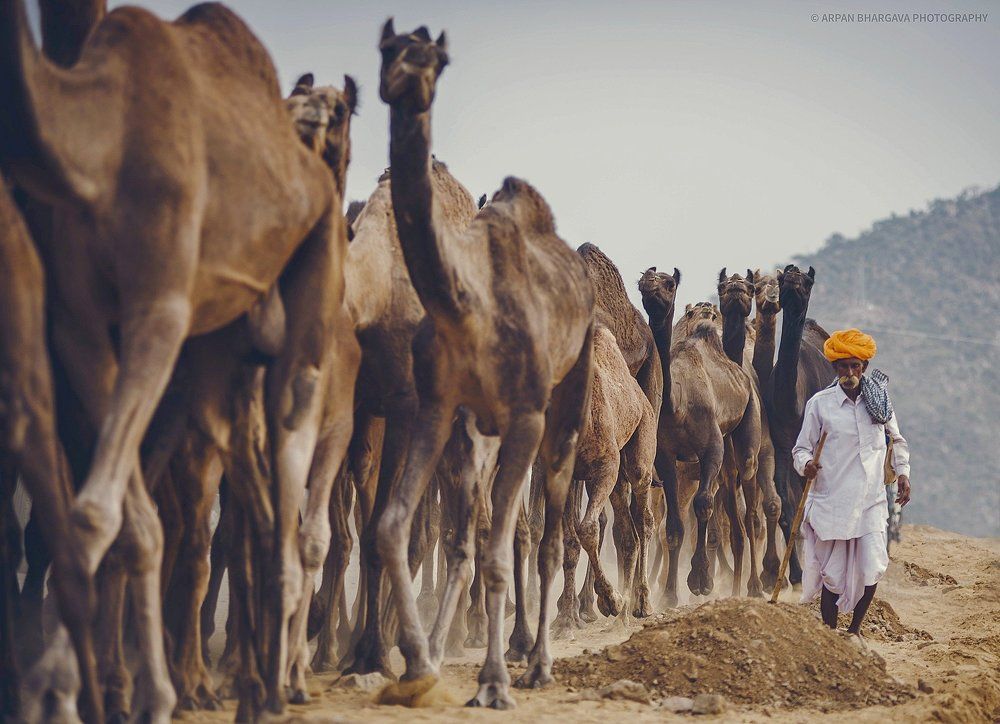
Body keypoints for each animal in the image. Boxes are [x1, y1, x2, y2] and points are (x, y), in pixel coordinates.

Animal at [0, 2, 359, 717]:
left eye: (339, 109)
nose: (307, 113)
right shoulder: (80, 325)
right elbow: (122, 517)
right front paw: (93, 691)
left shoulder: (161, 305)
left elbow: (102, 509)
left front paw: (67, 689)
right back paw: (252, 687)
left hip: (308, 292)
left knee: (288, 459)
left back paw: (275, 679)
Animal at [375, 21, 595, 709]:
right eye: (387, 50)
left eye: (436, 60)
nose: (404, 83)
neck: (464, 305)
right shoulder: (439, 405)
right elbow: (395, 525)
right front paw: (418, 666)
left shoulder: (525, 413)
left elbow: (504, 553)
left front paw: (495, 681)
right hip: (482, 433)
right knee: (474, 533)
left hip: (563, 412)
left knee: (547, 540)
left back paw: (538, 664)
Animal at [638, 269, 760, 605]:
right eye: (646, 276)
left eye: (669, 283)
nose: (649, 285)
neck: (677, 405)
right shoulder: (667, 460)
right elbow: (674, 528)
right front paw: (669, 595)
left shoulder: (711, 451)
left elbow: (703, 505)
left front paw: (701, 581)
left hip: (746, 435)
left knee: (748, 511)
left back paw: (754, 587)